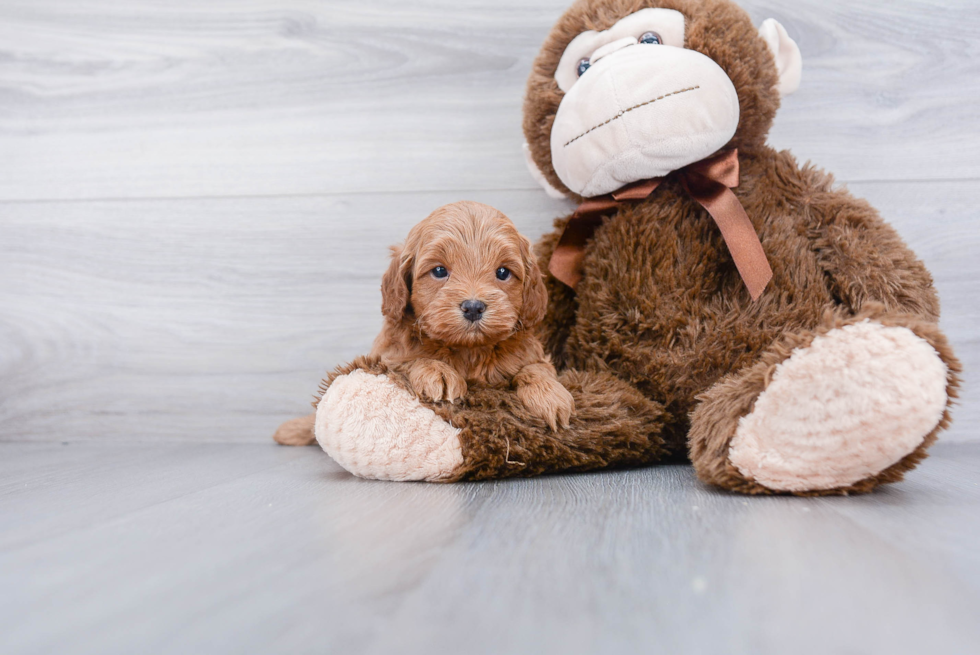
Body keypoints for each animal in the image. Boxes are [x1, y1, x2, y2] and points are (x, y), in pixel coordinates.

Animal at [272, 200, 576, 446]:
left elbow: (536, 369)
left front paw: (551, 397)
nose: (473, 307)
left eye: (503, 272)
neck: (468, 350)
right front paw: (438, 372)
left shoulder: (532, 354)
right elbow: (410, 359)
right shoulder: (387, 356)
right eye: (439, 271)